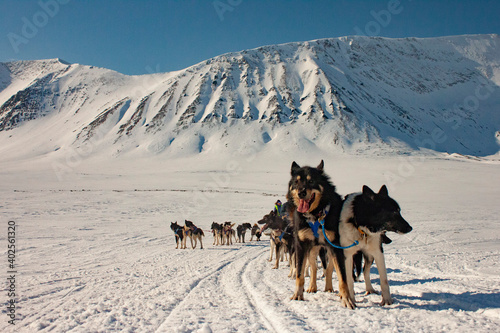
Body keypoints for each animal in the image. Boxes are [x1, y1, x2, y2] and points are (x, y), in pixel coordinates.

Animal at [288, 160, 354, 308]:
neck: (315, 215)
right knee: (313, 268)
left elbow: (342, 278)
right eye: (296, 182)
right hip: (313, 250)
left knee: (329, 269)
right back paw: (312, 286)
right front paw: (297, 295)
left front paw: (347, 299)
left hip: (328, 250)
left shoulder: (336, 246)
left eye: (311, 181)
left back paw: (330, 288)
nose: (301, 192)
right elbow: (300, 274)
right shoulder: (301, 246)